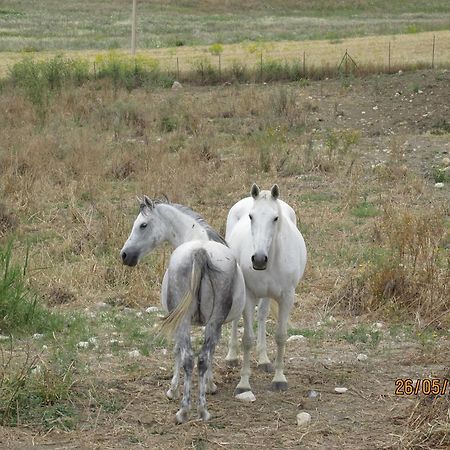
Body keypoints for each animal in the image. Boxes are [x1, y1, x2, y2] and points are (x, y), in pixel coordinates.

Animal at [121, 196, 244, 422]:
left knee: (189, 357)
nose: (125, 255)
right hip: (211, 321)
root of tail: (200, 251)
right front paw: (209, 385)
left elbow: (177, 351)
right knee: (201, 358)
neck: (197, 237)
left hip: (187, 321)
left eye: (143, 225)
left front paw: (173, 389)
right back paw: (201, 410)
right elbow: (209, 353)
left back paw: (184, 410)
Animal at [224, 183, 306, 394]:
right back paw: (231, 356)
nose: (259, 260)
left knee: (261, 315)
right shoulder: (249, 295)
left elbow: (280, 336)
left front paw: (279, 378)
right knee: (236, 320)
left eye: (275, 218)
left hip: (268, 295)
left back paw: (263, 360)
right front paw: (244, 384)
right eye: (251, 217)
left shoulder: (286, 297)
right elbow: (247, 339)